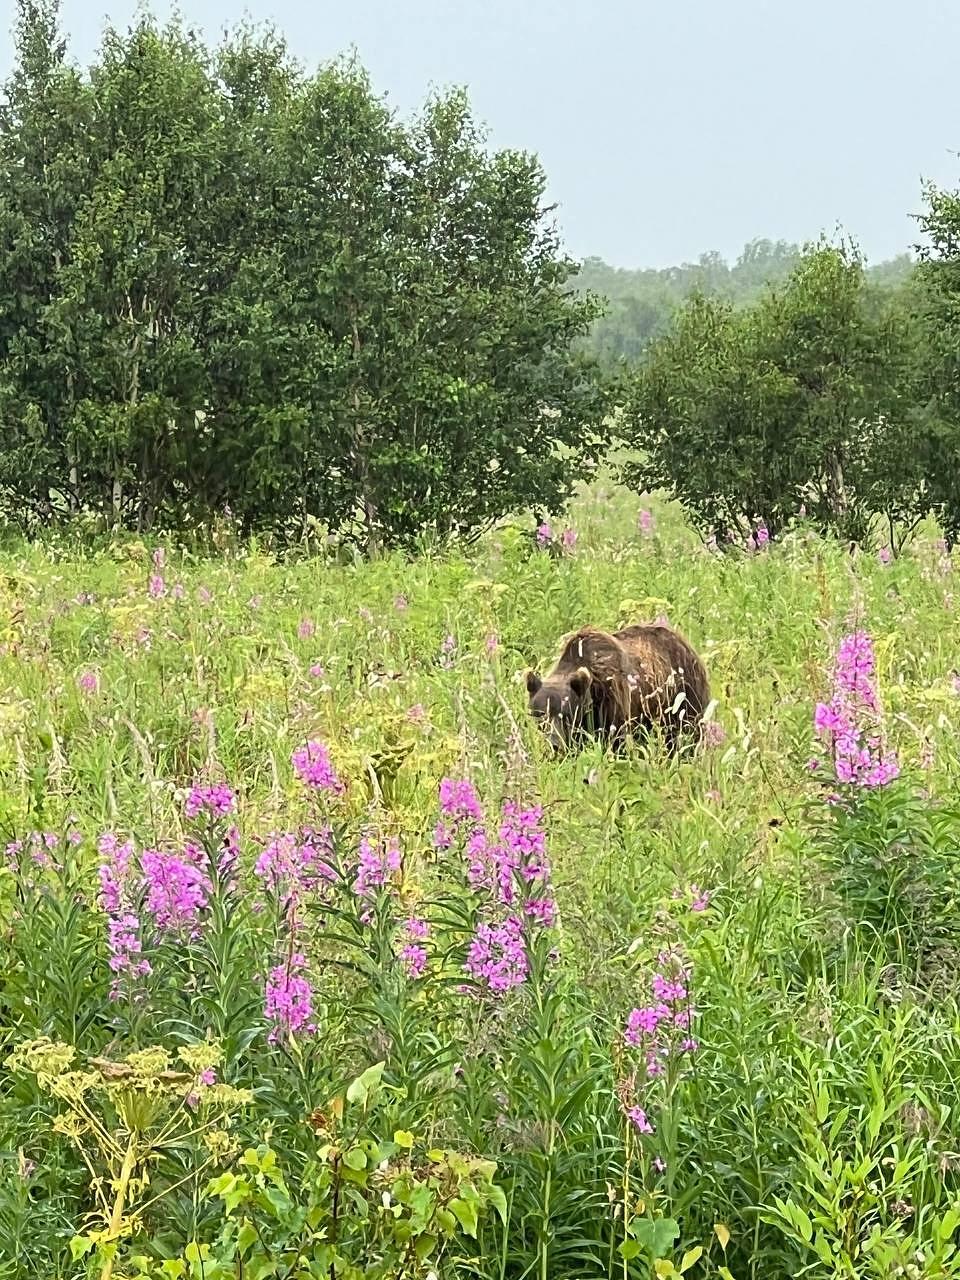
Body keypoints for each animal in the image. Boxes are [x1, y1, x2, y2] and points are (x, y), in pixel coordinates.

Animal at [524, 622, 711, 754]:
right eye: (541, 714)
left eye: (566, 714)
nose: (554, 743)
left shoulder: (612, 700)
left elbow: (616, 741)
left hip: (683, 696)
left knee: (685, 733)